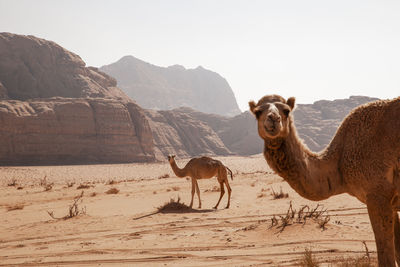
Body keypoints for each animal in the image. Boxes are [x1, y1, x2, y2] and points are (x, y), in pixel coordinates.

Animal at [248, 94, 400, 266]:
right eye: (258, 112)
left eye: (286, 110)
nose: (273, 118)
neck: (339, 161)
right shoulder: (391, 202)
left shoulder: (377, 194)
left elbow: (387, 258)